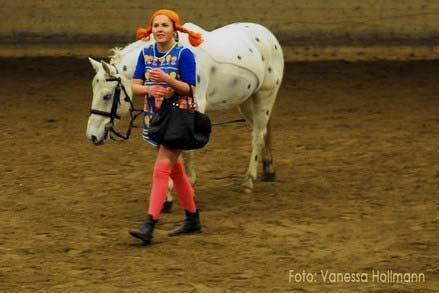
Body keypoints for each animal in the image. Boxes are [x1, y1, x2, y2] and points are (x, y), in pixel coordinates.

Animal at [86, 21, 286, 193]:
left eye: (107, 95)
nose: (92, 136)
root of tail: (268, 36)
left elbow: (186, 149)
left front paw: (187, 183)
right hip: (246, 100)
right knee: (262, 131)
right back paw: (269, 169)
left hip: (265, 96)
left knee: (258, 135)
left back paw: (248, 181)